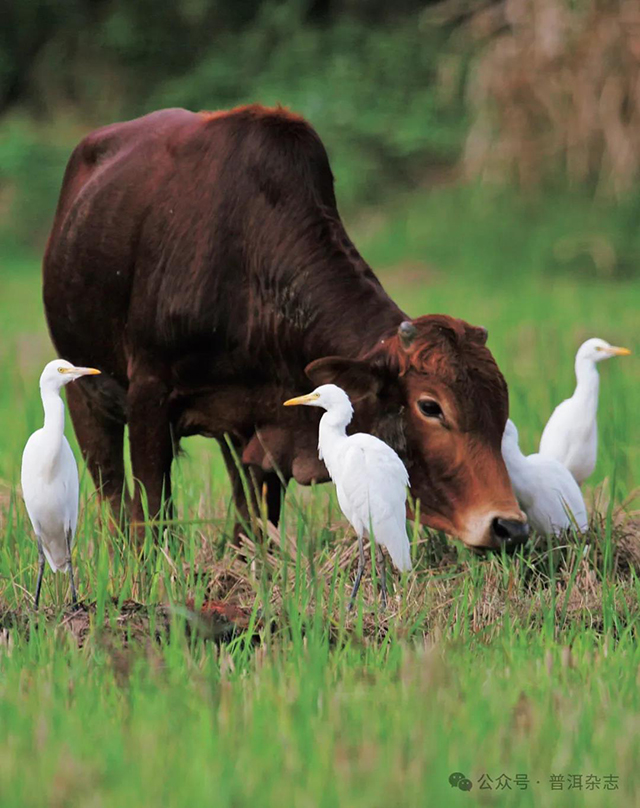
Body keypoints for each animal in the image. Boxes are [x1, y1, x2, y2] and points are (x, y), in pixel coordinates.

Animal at [42, 104, 528, 548]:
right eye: (430, 407)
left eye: (500, 409)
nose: (509, 526)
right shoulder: (149, 395)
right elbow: (151, 516)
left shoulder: (263, 431)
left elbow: (254, 525)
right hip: (89, 396)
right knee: (111, 491)